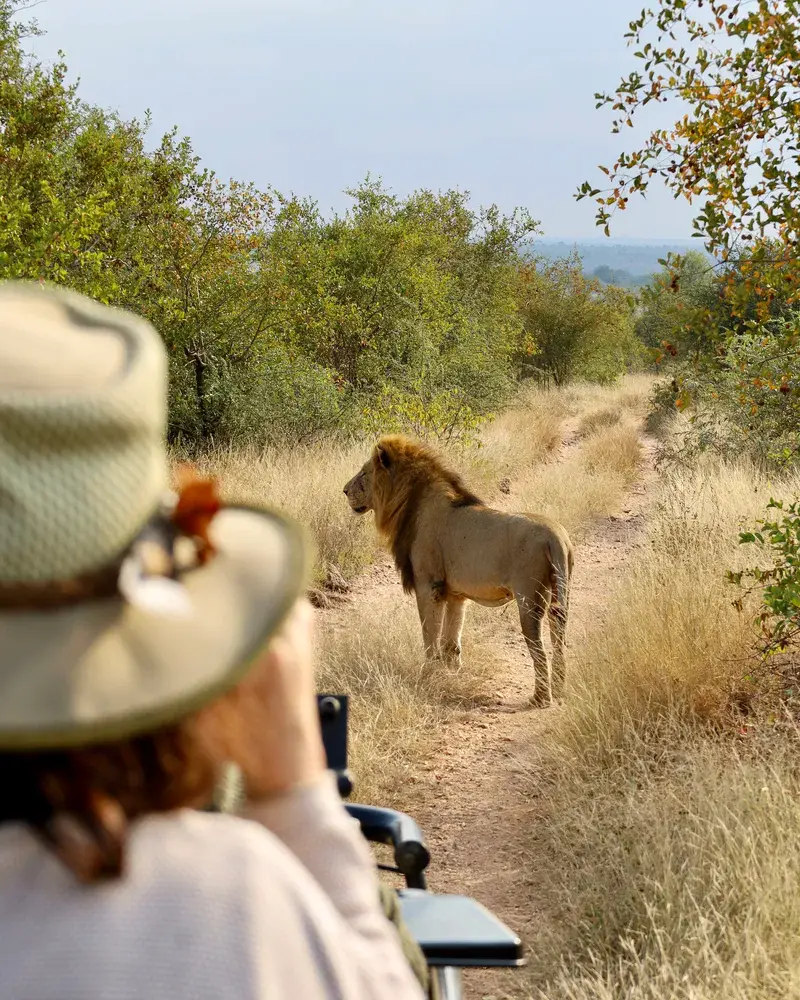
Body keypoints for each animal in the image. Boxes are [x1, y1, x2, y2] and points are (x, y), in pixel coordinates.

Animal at [343, 435, 574, 707]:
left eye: (364, 473)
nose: (344, 490)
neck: (410, 501)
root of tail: (556, 537)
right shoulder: (455, 593)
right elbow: (451, 640)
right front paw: (452, 672)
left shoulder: (429, 585)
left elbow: (430, 635)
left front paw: (429, 673)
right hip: (561, 592)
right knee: (558, 639)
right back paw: (559, 689)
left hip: (529, 598)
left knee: (539, 648)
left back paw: (541, 698)